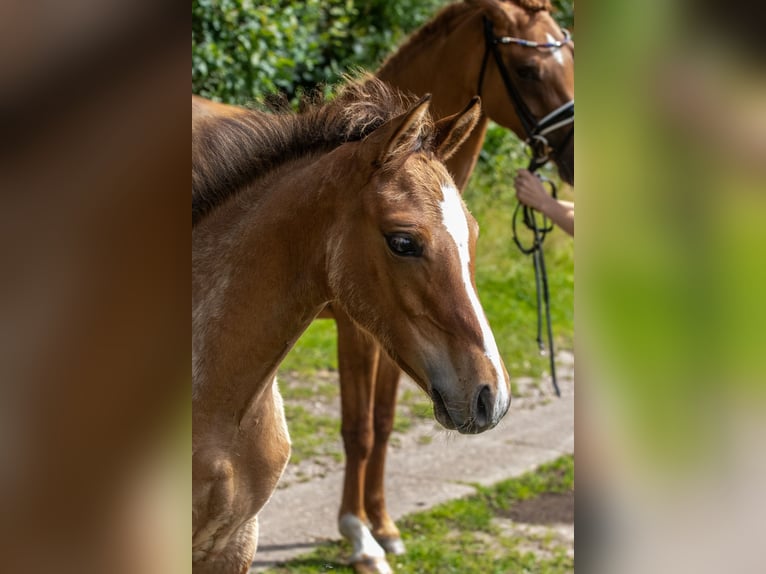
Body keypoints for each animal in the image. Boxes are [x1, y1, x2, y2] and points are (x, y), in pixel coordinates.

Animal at [320, 2, 572, 572]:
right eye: (527, 70)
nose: (574, 156)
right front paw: (359, 538)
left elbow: (384, 423)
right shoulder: (357, 330)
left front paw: (384, 525)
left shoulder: (400, 333)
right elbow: (358, 429)